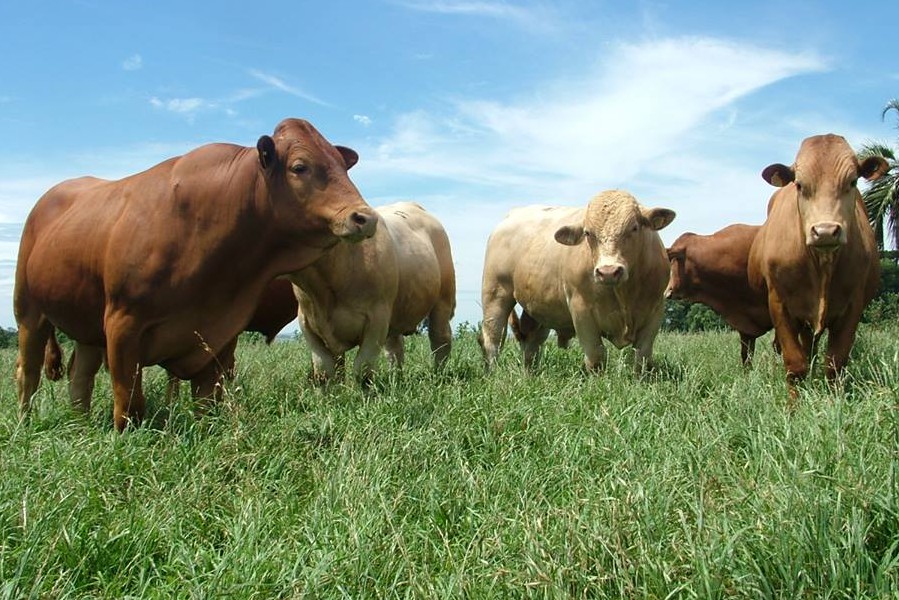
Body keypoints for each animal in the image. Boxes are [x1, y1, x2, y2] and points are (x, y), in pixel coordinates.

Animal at [17, 117, 376, 428]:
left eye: (341, 165)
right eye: (300, 167)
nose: (365, 217)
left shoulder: (221, 334)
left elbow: (207, 399)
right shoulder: (122, 324)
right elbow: (129, 401)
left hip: (86, 325)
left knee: (80, 375)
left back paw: (79, 422)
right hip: (29, 311)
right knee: (28, 372)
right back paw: (26, 423)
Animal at [290, 200, 458, 380]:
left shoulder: (377, 318)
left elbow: (363, 368)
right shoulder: (307, 324)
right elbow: (325, 369)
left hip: (443, 300)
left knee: (440, 339)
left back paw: (438, 375)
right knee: (395, 348)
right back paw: (395, 378)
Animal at [482, 190, 672, 372]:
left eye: (634, 228)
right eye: (588, 233)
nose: (608, 272)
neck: (624, 294)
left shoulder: (656, 311)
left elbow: (641, 357)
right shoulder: (581, 310)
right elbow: (595, 356)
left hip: (536, 306)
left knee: (531, 342)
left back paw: (529, 375)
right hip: (495, 293)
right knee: (493, 338)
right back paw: (494, 372)